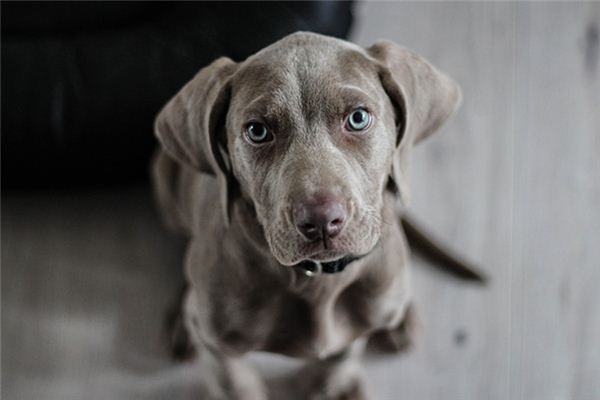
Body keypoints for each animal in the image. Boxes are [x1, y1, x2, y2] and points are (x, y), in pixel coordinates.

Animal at [154, 32, 474, 400]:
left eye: (358, 118)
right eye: (257, 131)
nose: (321, 221)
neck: (318, 280)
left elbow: (343, 353)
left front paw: (332, 385)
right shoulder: (219, 349)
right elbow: (237, 384)